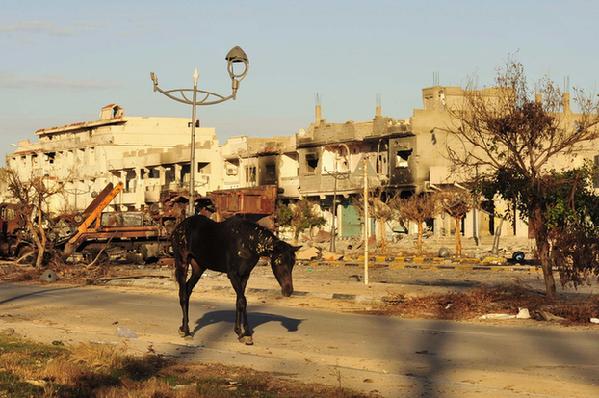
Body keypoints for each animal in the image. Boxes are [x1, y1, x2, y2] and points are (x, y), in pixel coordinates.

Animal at [170, 215, 298, 346]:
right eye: (279, 261)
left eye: (293, 263)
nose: (288, 290)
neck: (247, 242)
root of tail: (178, 228)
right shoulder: (233, 275)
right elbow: (242, 301)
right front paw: (245, 334)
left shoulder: (244, 275)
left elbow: (239, 301)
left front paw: (240, 332)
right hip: (182, 263)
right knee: (183, 294)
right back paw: (186, 331)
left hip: (198, 268)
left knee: (187, 290)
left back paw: (183, 327)